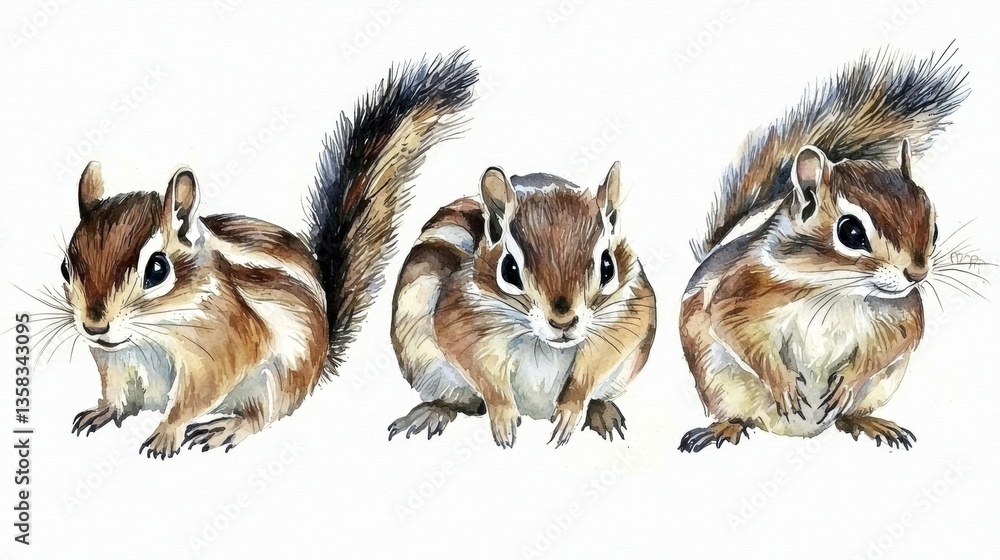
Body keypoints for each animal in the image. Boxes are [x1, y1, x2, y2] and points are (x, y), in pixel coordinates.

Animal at [56, 51, 477, 458]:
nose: (94, 326)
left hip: (277, 378)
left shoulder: (220, 349)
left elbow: (194, 397)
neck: (150, 333)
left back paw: (228, 426)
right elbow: (116, 393)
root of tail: (323, 354)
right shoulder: (115, 362)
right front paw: (103, 410)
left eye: (157, 270)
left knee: (262, 414)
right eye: (65, 267)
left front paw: (166, 433)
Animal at [387, 163, 656, 448]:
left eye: (608, 267)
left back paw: (602, 413)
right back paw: (432, 412)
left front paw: (570, 412)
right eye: (509, 269)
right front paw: (503, 418)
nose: (563, 323)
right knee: (459, 403)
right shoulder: (461, 320)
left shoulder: (625, 316)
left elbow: (592, 369)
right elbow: (484, 374)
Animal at [678, 45, 970, 452]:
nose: (917, 274)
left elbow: (896, 341)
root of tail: (802, 434)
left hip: (879, 388)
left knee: (849, 416)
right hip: (718, 386)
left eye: (935, 228)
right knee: (737, 416)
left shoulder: (902, 313)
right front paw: (782, 383)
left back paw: (870, 422)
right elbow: (736, 330)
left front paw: (846, 382)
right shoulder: (738, 295)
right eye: (851, 232)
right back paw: (722, 428)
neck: (836, 288)